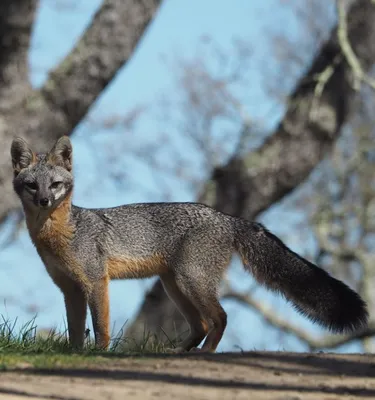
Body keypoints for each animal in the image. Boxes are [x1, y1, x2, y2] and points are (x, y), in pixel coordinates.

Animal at [10, 136, 368, 352]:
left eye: (55, 185)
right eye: (32, 186)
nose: (44, 201)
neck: (61, 234)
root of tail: (227, 217)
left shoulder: (96, 281)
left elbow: (100, 326)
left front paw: (99, 354)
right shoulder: (70, 289)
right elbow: (74, 330)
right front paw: (76, 354)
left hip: (190, 281)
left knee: (220, 318)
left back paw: (205, 354)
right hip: (175, 286)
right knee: (202, 325)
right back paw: (179, 353)